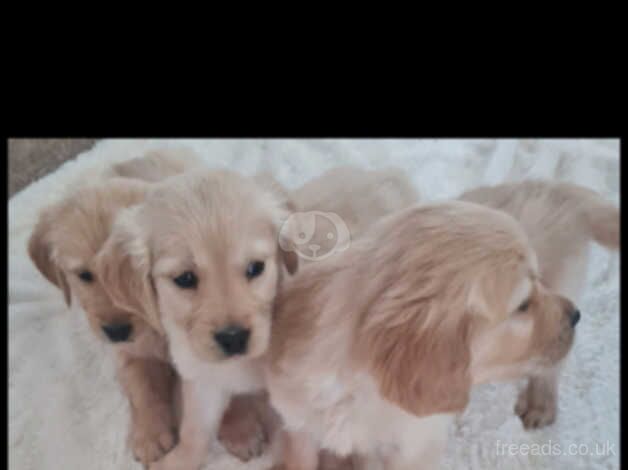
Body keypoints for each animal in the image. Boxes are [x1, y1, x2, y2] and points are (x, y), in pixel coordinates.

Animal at [98, 166, 420, 470]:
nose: (233, 338)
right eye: (185, 278)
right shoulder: (203, 377)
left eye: (255, 268)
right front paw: (178, 461)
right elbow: (195, 431)